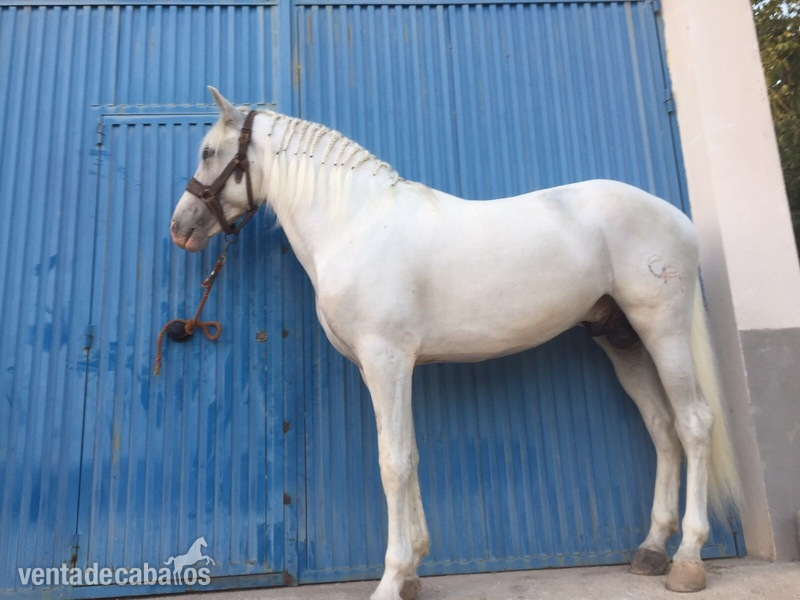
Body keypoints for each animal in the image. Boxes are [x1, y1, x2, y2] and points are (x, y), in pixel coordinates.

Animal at [170, 87, 742, 600]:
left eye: (208, 152)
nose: (180, 228)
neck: (355, 223)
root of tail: (677, 217)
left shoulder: (387, 360)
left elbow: (393, 462)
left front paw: (391, 580)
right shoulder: (388, 367)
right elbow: (411, 453)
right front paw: (413, 573)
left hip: (662, 330)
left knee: (693, 424)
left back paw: (687, 560)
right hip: (622, 341)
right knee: (662, 428)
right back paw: (651, 549)